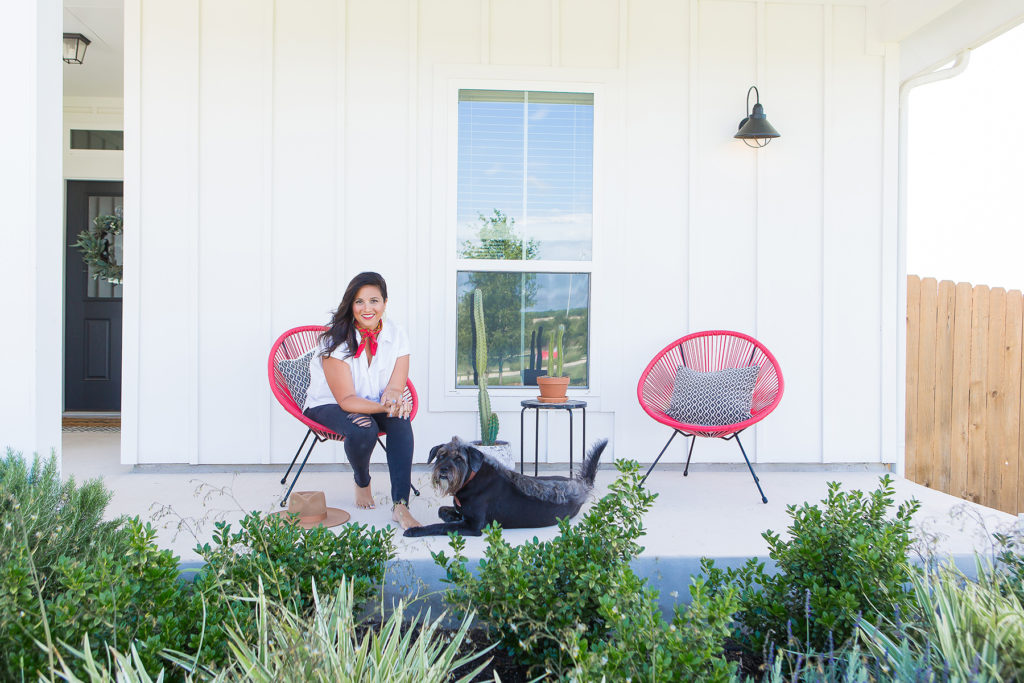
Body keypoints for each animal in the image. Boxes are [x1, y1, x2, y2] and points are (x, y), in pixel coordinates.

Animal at [401, 436, 606, 536]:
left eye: (459, 458)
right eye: (440, 455)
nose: (443, 470)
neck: (470, 479)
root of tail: (581, 485)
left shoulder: (474, 526)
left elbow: (439, 526)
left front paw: (415, 530)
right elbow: (442, 511)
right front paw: (450, 515)